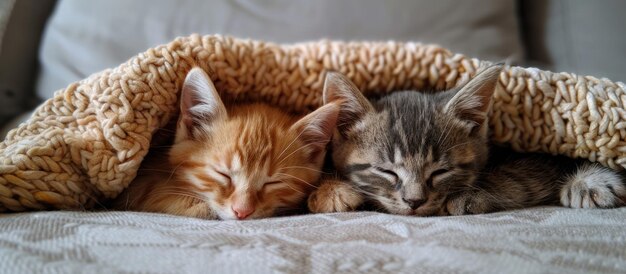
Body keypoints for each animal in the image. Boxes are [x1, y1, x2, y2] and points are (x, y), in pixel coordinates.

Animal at [308, 66, 624, 216]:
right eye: (386, 171)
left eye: (441, 171)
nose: (414, 201)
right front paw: (332, 190)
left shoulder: (536, 158)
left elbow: (519, 175)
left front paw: (472, 194)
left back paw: (592, 182)